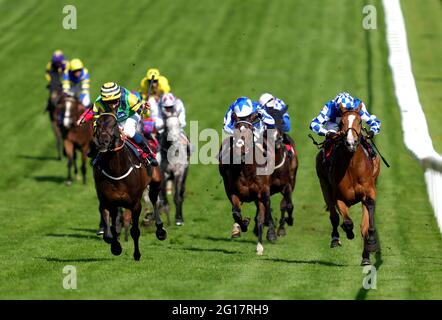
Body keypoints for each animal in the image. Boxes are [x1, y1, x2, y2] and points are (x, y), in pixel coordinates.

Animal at [93, 112, 167, 260]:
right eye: (97, 124)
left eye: (114, 124)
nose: (103, 142)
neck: (116, 170)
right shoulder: (106, 202)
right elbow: (109, 234)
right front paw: (116, 247)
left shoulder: (135, 204)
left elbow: (135, 231)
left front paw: (137, 254)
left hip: (155, 181)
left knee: (154, 200)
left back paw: (160, 230)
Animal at [218, 112, 276, 255]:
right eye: (235, 131)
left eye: (250, 132)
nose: (239, 151)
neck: (246, 169)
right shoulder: (232, 192)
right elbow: (236, 212)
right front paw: (244, 224)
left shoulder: (262, 193)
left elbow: (261, 218)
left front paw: (260, 246)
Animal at [316, 104, 382, 264]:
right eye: (341, 123)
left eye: (359, 121)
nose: (351, 143)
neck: (352, 167)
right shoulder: (339, 197)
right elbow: (346, 221)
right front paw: (349, 232)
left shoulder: (369, 191)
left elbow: (365, 225)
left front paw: (369, 249)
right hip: (324, 185)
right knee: (334, 216)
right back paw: (335, 239)